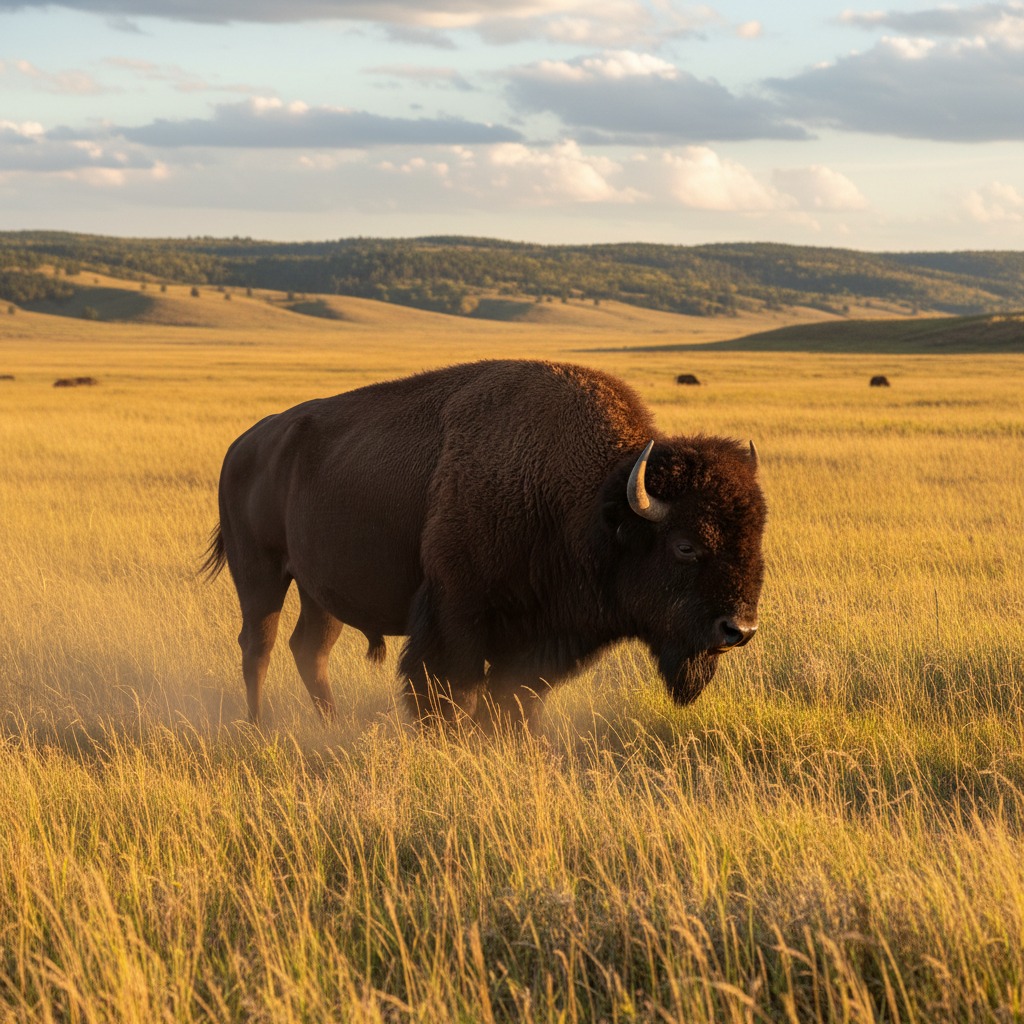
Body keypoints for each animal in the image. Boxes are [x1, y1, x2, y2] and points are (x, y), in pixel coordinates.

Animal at [204, 360, 766, 730]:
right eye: (685, 546)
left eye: (756, 536)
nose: (738, 629)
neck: (589, 501)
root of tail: (242, 445)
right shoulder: (456, 617)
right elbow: (453, 692)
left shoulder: (539, 641)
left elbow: (511, 699)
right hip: (260, 576)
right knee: (258, 647)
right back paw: (259, 725)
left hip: (319, 593)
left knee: (309, 649)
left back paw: (331, 726)